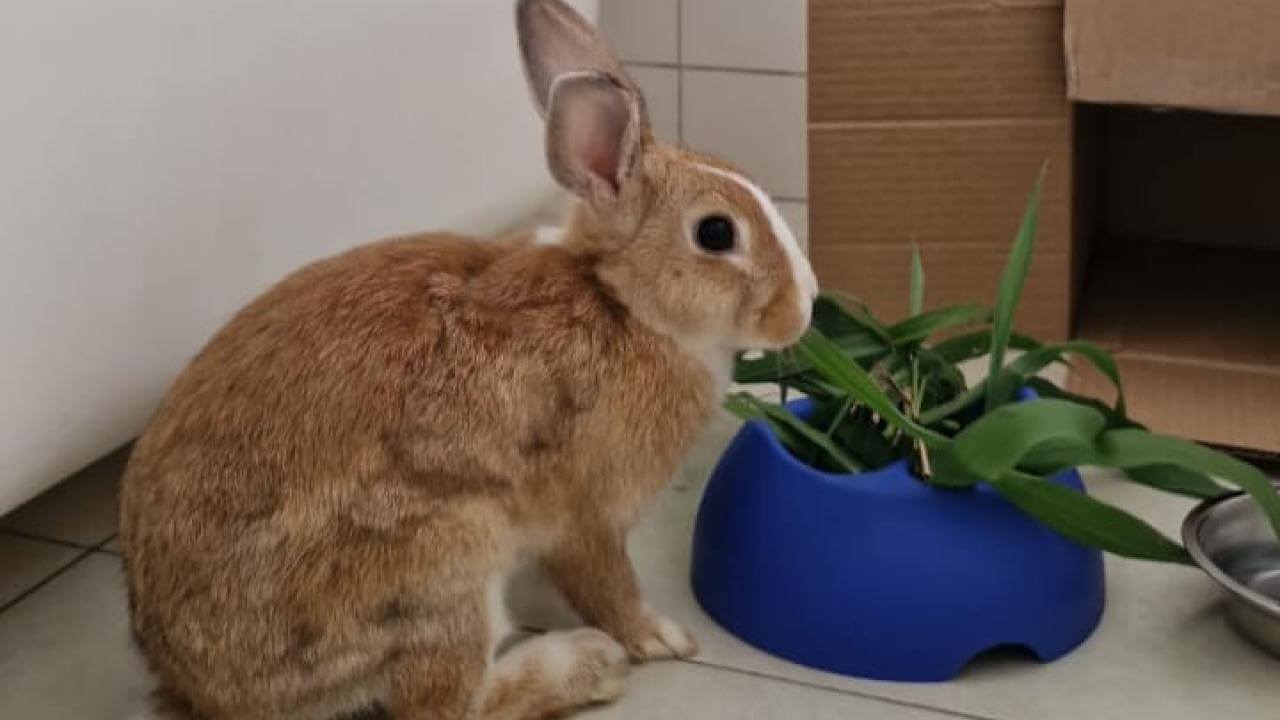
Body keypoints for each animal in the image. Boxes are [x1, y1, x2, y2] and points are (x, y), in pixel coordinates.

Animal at [118, 1, 818, 719]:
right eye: (716, 233)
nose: (806, 307)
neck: (621, 302)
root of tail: (201, 688)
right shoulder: (586, 515)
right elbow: (607, 583)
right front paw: (661, 638)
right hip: (447, 558)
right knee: (445, 704)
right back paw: (586, 663)